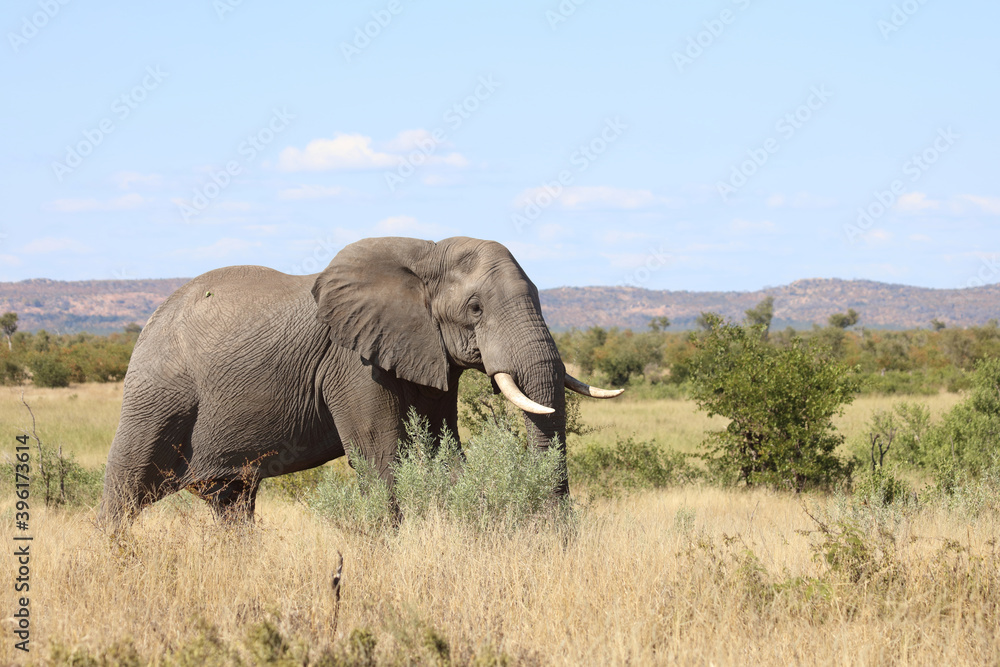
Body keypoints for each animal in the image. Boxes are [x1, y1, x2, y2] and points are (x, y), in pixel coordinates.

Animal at [98, 236, 622, 528]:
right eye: (475, 308)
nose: (558, 534)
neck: (424, 253)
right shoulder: (352, 362)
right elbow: (381, 456)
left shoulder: (426, 354)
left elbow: (443, 451)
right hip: (157, 394)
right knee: (125, 490)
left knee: (232, 503)